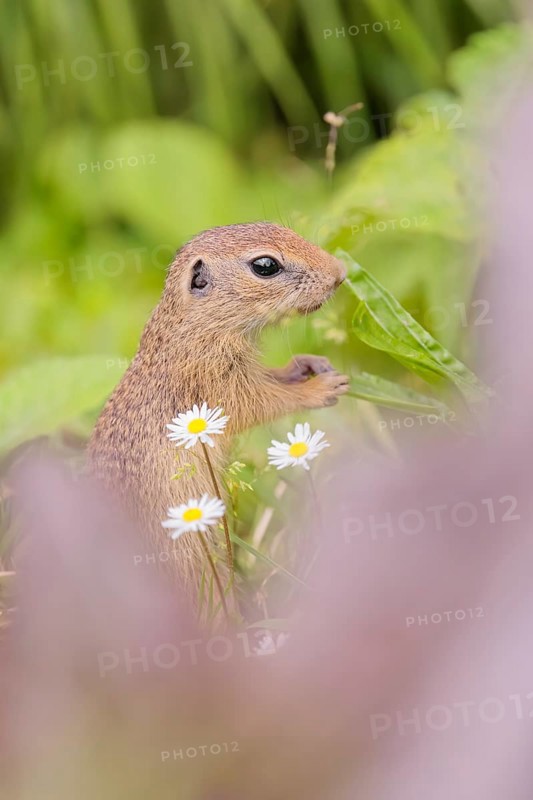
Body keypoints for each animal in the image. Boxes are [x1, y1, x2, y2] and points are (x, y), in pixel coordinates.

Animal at [88, 222, 348, 597]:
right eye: (265, 266)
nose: (340, 273)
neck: (193, 327)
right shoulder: (221, 385)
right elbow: (265, 401)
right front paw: (321, 388)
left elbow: (274, 378)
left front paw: (307, 364)